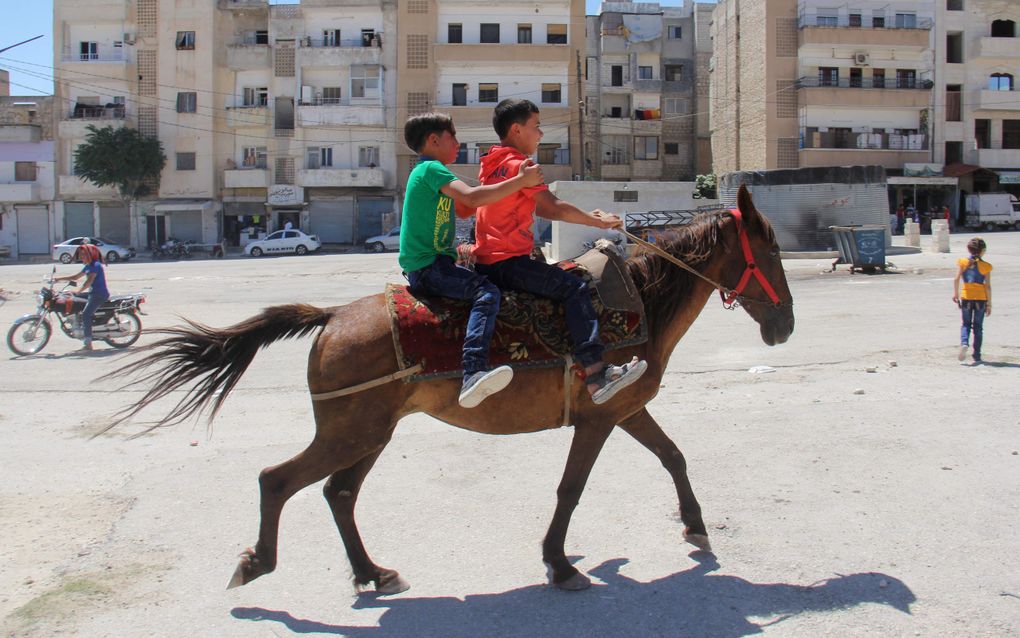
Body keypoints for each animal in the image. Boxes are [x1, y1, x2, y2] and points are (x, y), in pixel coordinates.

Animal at [111, 183, 795, 592]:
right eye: (772, 251)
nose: (785, 326)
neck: (640, 303)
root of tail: (331, 316)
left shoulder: (625, 410)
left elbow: (674, 457)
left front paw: (696, 528)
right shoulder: (600, 418)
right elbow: (571, 489)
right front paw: (558, 562)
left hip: (369, 433)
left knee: (338, 493)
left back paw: (371, 572)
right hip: (350, 432)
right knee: (278, 481)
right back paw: (259, 562)